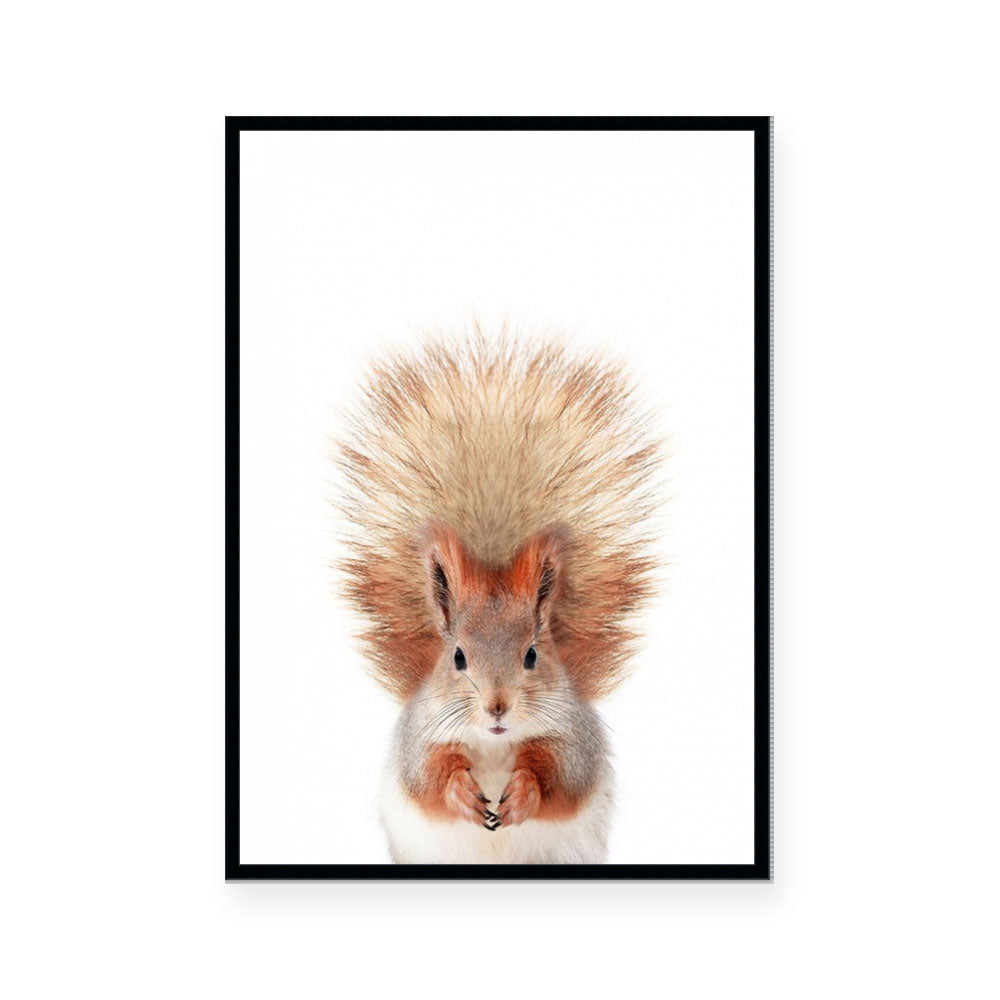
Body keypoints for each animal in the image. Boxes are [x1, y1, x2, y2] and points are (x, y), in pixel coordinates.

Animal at [337, 332, 661, 863]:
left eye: (532, 655)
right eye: (457, 657)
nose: (497, 707)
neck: (492, 745)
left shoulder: (573, 740)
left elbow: (560, 778)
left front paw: (524, 792)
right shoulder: (420, 738)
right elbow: (428, 777)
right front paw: (461, 793)